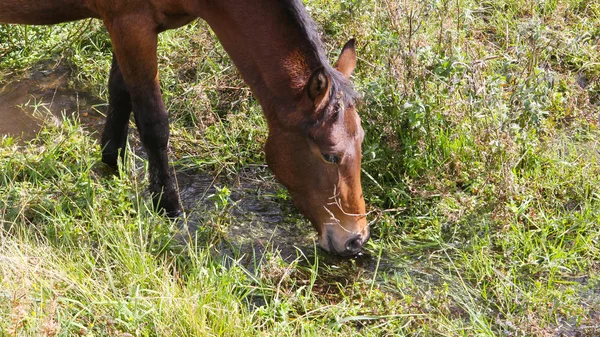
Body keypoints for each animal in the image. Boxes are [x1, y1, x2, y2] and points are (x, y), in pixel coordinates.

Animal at [0, 0, 368, 255]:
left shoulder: (132, 30)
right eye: (329, 155)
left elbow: (120, 96)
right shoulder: (129, 24)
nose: (355, 239)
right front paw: (168, 206)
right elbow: (153, 122)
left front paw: (110, 164)